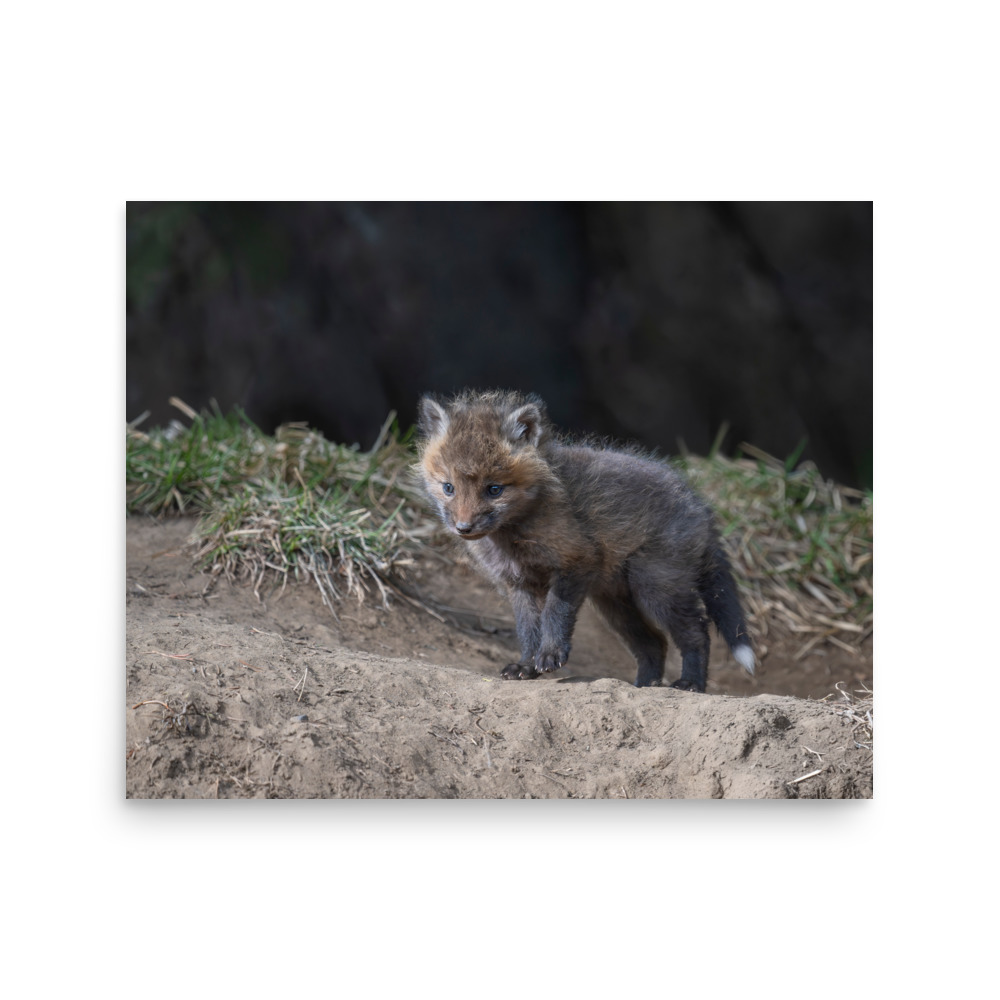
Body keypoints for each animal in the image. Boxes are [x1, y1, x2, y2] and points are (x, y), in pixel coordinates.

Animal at [416, 389, 756, 692]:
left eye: (494, 489)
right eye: (448, 488)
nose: (464, 528)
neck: (514, 537)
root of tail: (700, 505)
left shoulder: (576, 561)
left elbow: (555, 614)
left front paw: (550, 655)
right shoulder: (519, 583)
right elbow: (527, 630)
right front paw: (526, 665)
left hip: (656, 588)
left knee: (697, 633)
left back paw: (691, 683)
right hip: (615, 604)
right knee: (655, 643)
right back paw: (645, 686)